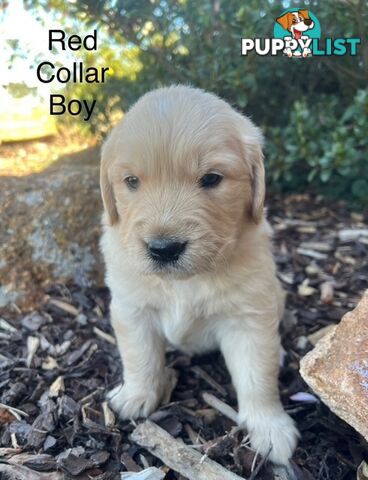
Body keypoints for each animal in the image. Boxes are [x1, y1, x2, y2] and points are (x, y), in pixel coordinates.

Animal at [100, 85, 300, 464]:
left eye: (211, 179)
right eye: (131, 181)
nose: (164, 248)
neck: (186, 281)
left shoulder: (249, 317)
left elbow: (258, 374)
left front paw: (270, 427)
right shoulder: (132, 309)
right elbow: (139, 355)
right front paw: (136, 394)